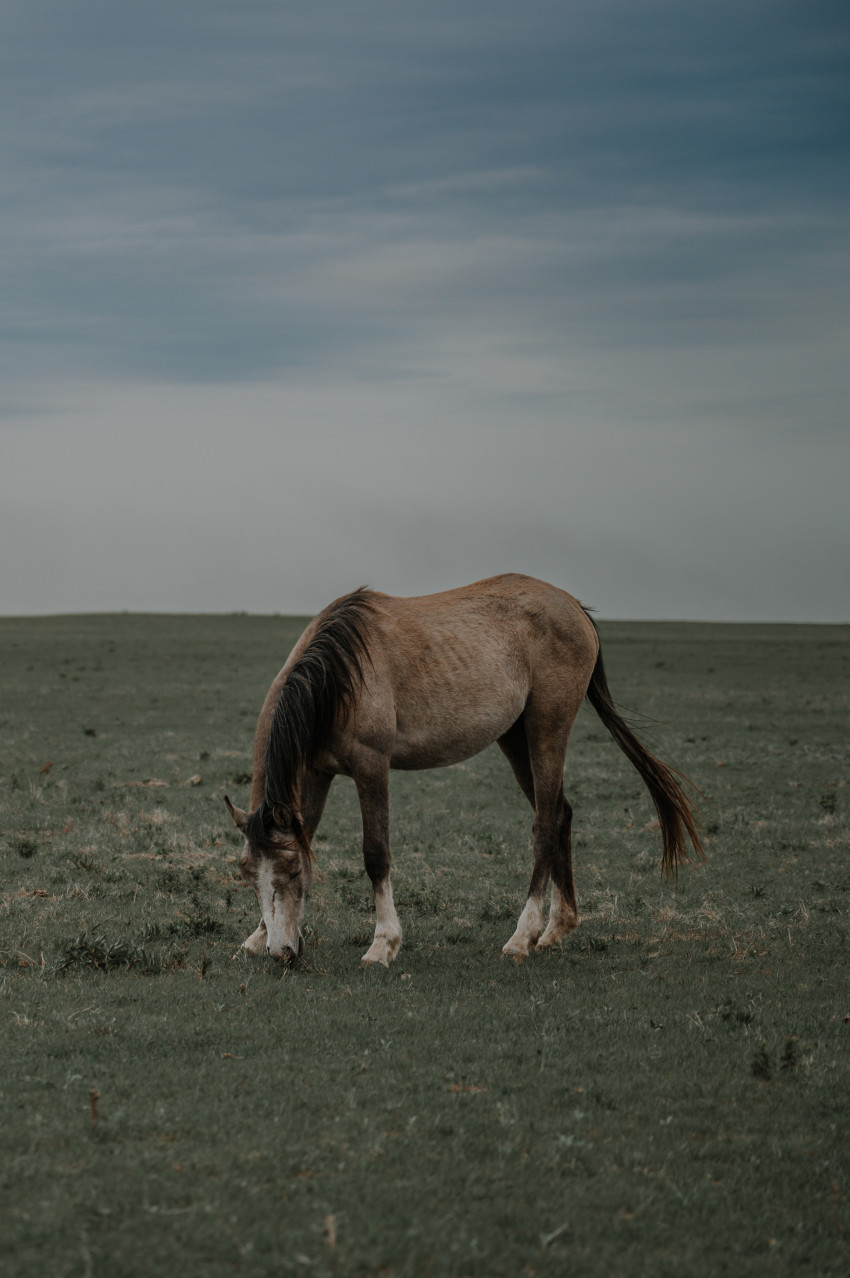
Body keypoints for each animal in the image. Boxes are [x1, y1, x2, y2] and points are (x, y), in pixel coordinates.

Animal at [222, 575, 700, 961]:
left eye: (292, 872)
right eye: (247, 875)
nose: (283, 953)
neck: (337, 676)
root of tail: (573, 606)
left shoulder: (371, 766)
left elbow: (376, 854)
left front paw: (383, 944)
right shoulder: (318, 773)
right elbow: (308, 831)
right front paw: (257, 936)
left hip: (547, 729)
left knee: (545, 824)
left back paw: (522, 936)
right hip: (515, 739)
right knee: (560, 814)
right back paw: (556, 929)